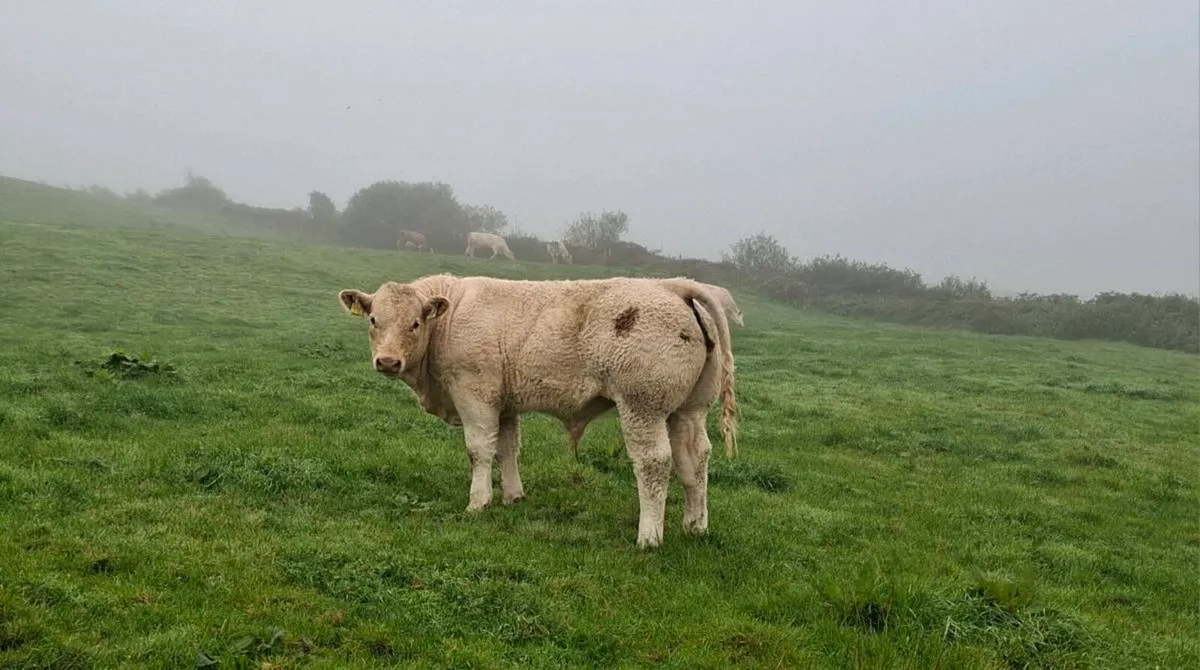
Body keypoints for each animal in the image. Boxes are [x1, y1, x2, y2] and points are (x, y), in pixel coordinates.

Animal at [337, 273, 738, 548]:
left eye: (415, 323)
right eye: (373, 320)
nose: (388, 361)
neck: (450, 318)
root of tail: (673, 286)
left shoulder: (475, 394)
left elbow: (479, 450)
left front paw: (478, 502)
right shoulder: (504, 403)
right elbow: (507, 448)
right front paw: (513, 496)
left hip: (643, 406)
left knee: (654, 463)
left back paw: (650, 536)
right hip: (687, 410)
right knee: (695, 459)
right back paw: (695, 525)